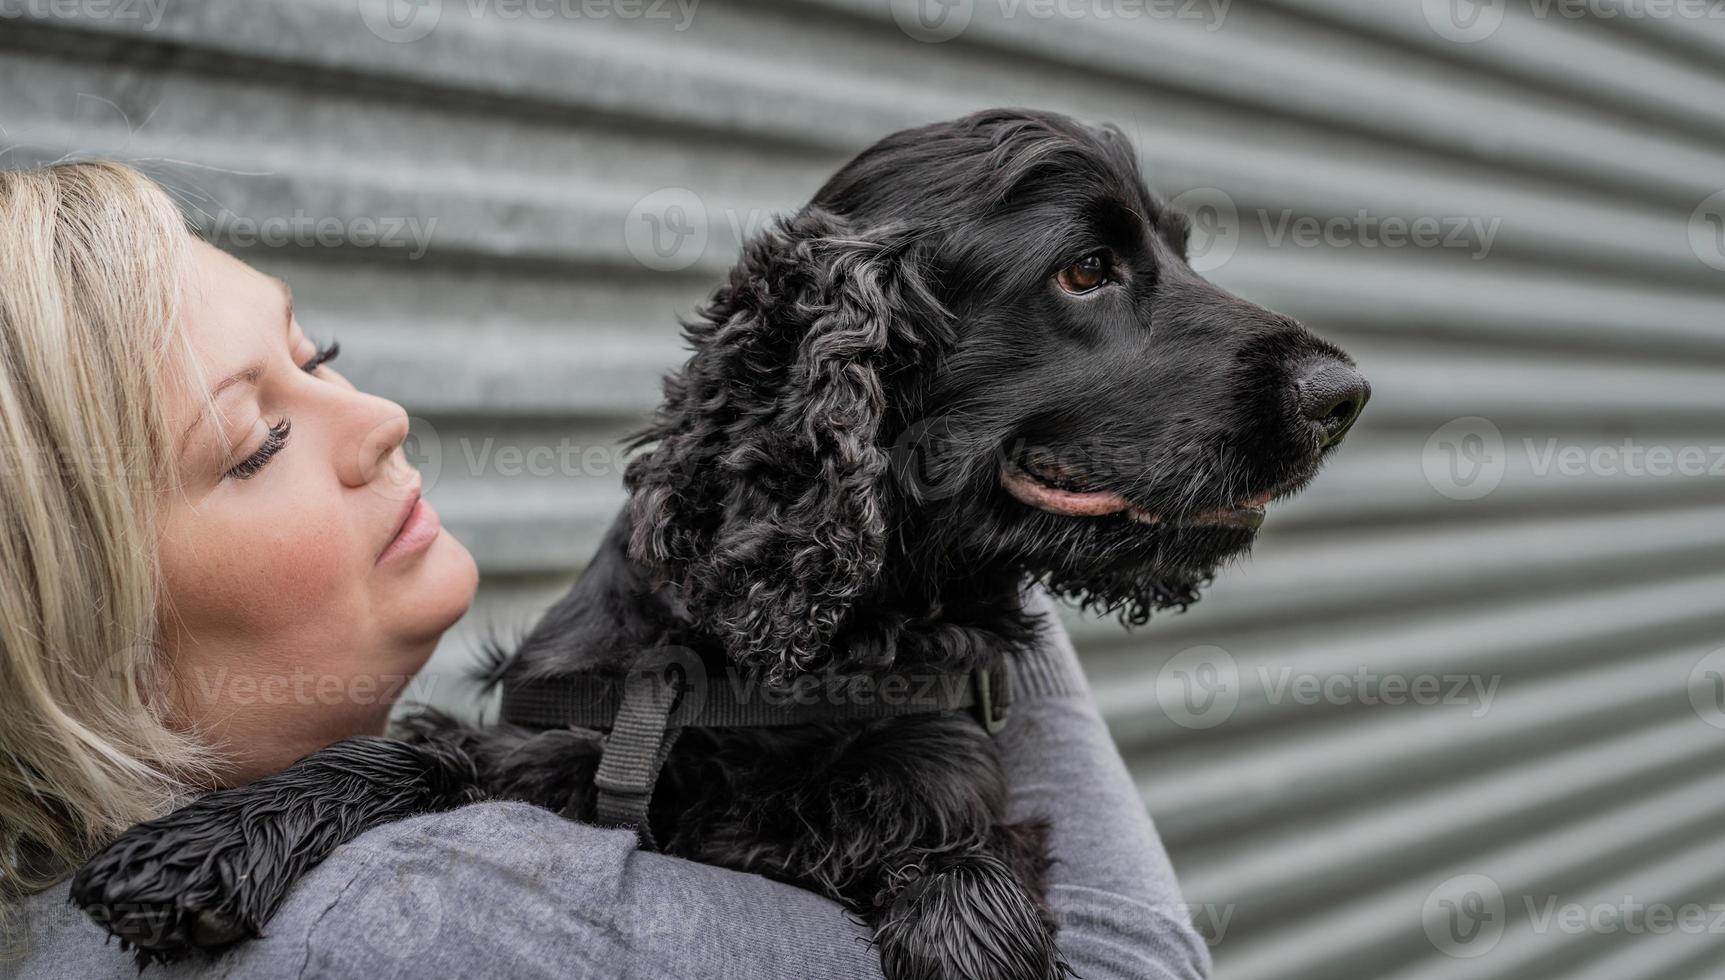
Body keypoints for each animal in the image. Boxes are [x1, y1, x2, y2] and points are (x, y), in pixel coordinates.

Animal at [74, 109, 1373, 980]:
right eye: (1088, 269)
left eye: (1181, 249)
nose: (1345, 392)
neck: (805, 655)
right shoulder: (578, 736)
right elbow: (424, 749)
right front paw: (203, 842)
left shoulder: (946, 792)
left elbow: (968, 879)